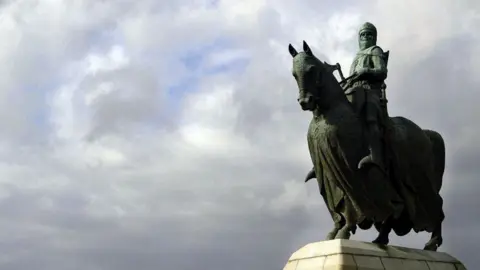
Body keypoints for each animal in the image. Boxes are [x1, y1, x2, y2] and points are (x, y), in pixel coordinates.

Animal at [286, 40, 444, 251]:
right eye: (294, 74)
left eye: (312, 69)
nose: (305, 101)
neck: (328, 112)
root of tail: (426, 133)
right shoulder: (325, 171)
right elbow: (338, 203)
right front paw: (334, 232)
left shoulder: (348, 169)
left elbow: (353, 200)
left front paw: (345, 230)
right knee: (399, 206)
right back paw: (381, 238)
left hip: (419, 178)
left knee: (435, 203)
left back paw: (432, 242)